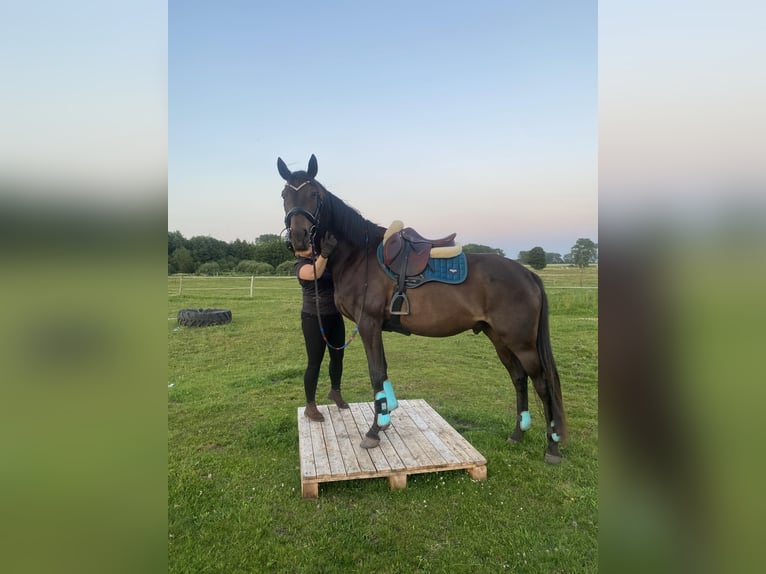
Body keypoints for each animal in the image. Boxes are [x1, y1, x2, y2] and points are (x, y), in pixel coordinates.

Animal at [280, 155, 568, 466]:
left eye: (314, 194)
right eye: (285, 195)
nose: (298, 238)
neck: (359, 256)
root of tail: (527, 274)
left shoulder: (368, 324)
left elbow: (376, 373)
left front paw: (374, 431)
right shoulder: (374, 327)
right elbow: (383, 370)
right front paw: (386, 419)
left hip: (522, 343)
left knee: (543, 384)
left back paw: (552, 447)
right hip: (499, 339)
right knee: (518, 378)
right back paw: (517, 434)